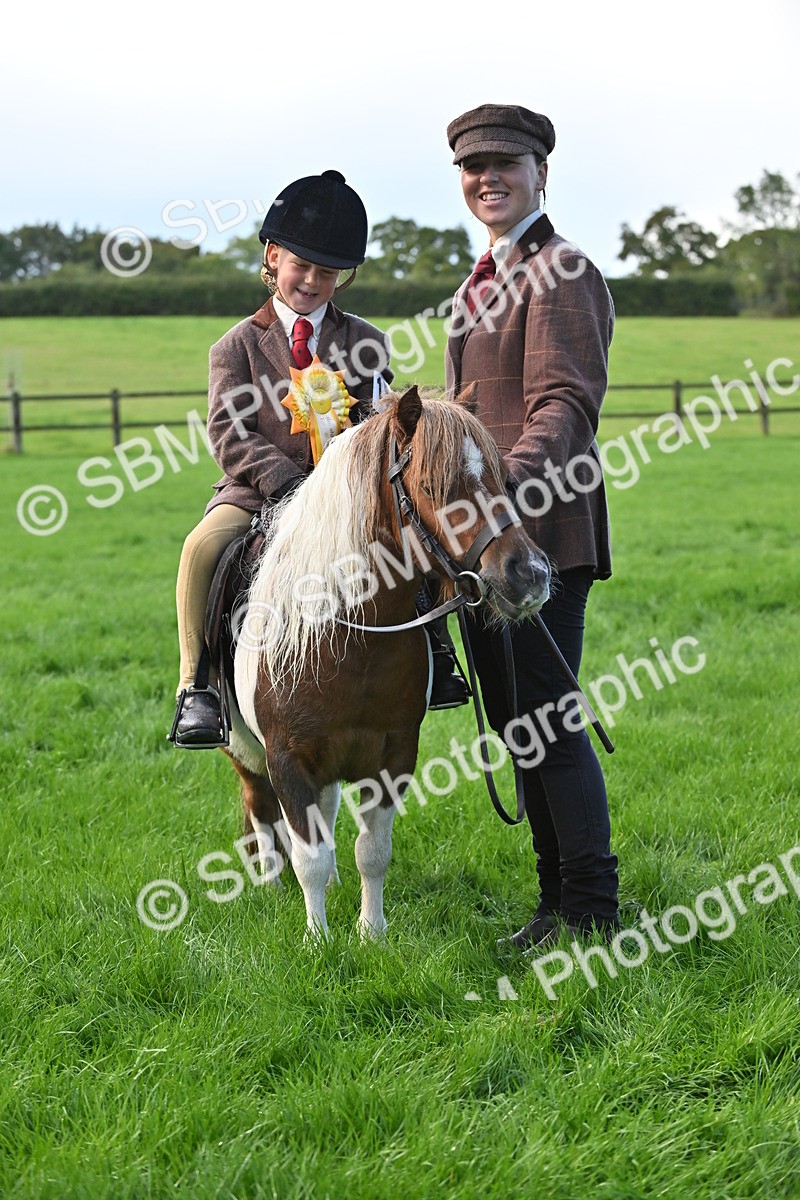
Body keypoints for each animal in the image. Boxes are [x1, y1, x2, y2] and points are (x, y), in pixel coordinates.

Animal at [222, 385, 552, 941]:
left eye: (503, 478)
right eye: (434, 485)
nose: (529, 575)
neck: (350, 640)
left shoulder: (393, 757)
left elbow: (371, 851)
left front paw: (370, 933)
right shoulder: (286, 759)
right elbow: (308, 855)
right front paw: (317, 939)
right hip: (246, 751)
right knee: (260, 808)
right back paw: (270, 880)